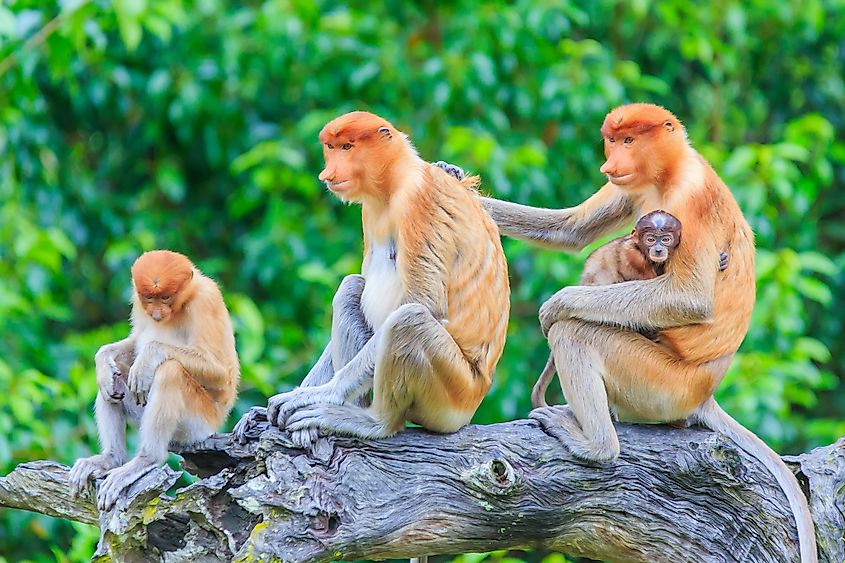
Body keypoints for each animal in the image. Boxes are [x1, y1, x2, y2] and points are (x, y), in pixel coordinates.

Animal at [69, 250, 240, 512]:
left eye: (166, 297)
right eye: (150, 298)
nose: (157, 314)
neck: (184, 300)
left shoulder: (206, 301)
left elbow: (220, 370)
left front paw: (149, 357)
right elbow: (135, 340)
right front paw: (103, 360)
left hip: (197, 424)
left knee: (171, 372)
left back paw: (146, 459)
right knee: (113, 384)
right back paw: (111, 458)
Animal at [233, 111, 510, 452]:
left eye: (348, 147)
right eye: (331, 147)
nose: (327, 173)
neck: (393, 181)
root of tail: (478, 395)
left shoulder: (418, 200)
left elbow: (424, 302)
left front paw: (315, 395)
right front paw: (269, 407)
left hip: (453, 394)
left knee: (408, 320)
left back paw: (371, 421)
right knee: (351, 288)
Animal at [464, 103, 816, 562]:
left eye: (629, 140)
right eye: (613, 141)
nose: (610, 164)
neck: (670, 171)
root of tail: (704, 394)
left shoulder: (690, 200)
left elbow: (688, 299)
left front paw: (557, 303)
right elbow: (570, 229)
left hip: (662, 384)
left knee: (576, 334)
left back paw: (595, 445)